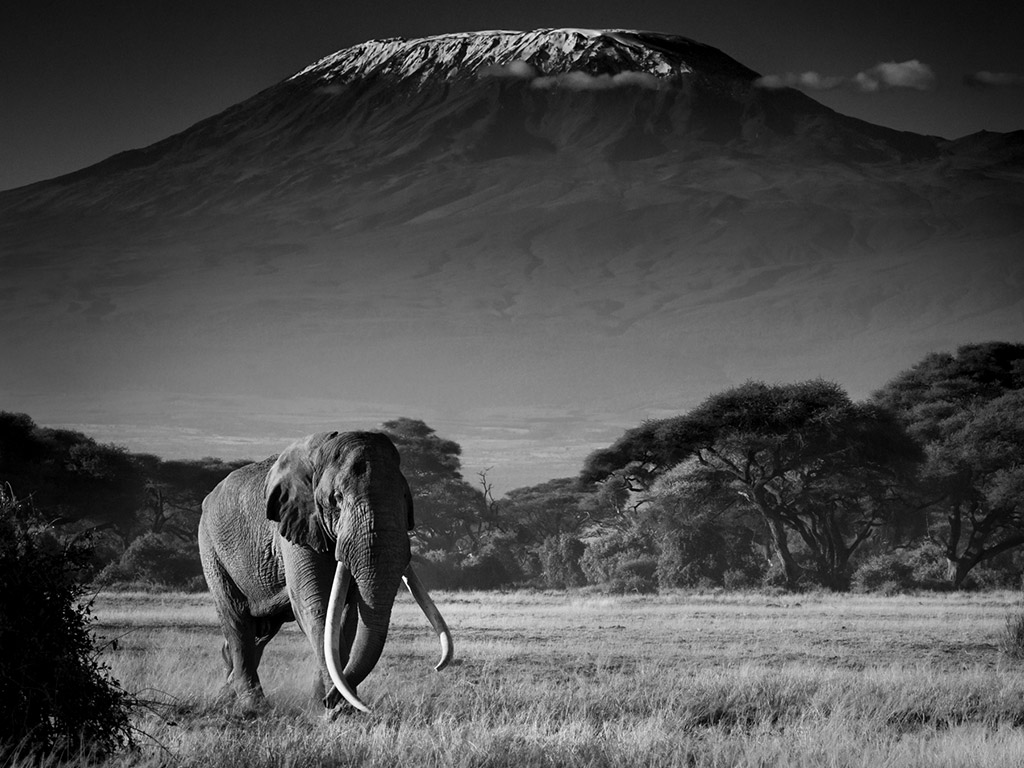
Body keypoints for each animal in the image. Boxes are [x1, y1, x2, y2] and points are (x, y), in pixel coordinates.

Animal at [196, 430, 452, 712]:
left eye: (405, 499)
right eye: (337, 498)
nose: (330, 702)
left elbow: (347, 616)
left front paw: (330, 703)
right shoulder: (296, 524)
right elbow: (315, 606)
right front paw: (335, 706)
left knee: (260, 632)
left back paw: (226, 693)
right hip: (211, 548)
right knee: (237, 621)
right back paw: (254, 706)